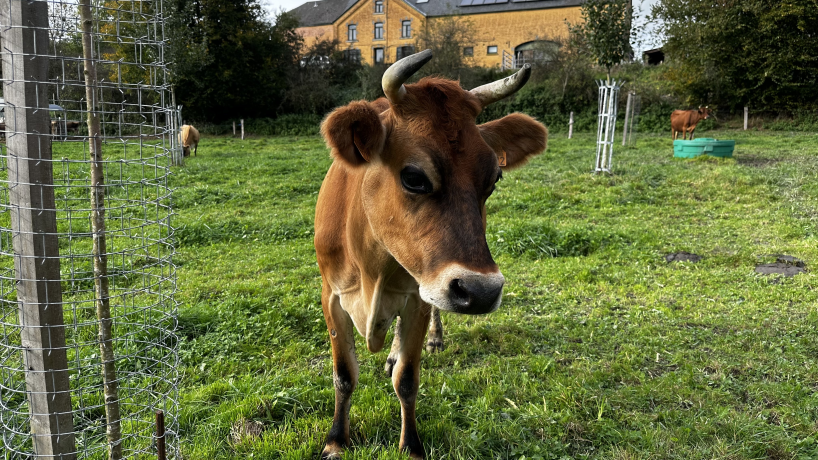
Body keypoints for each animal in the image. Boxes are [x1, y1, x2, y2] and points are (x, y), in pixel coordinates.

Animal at [314, 49, 547, 459]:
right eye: (414, 177)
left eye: (494, 179)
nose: (482, 291)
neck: (372, 270)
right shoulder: (332, 295)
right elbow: (344, 376)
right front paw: (336, 441)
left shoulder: (419, 297)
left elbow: (407, 379)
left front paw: (411, 446)